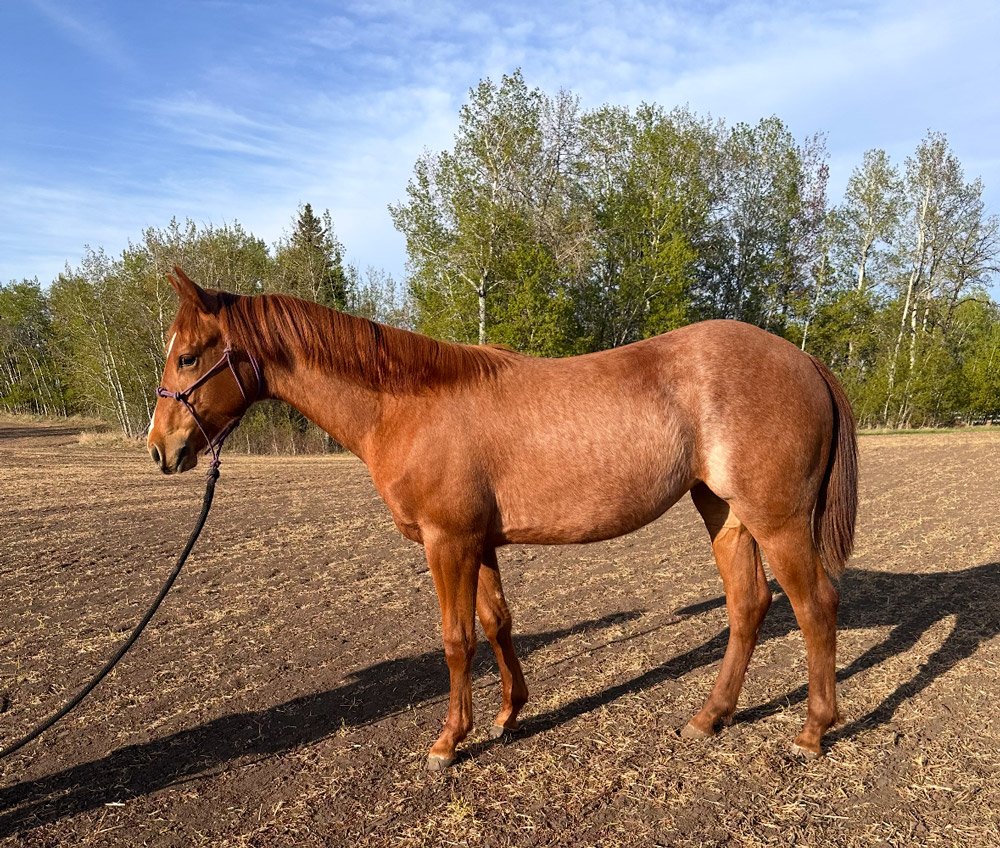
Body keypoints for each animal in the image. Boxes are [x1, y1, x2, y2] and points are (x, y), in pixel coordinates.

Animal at [147, 266, 858, 769]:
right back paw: (710, 717)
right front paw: (509, 715)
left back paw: (812, 730)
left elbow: (456, 639)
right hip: (726, 512)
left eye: (188, 357)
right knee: (749, 605)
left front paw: (448, 741)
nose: (161, 449)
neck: (409, 405)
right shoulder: (479, 543)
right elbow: (496, 624)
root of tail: (803, 359)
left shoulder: (447, 543)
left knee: (814, 604)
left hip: (778, 520)